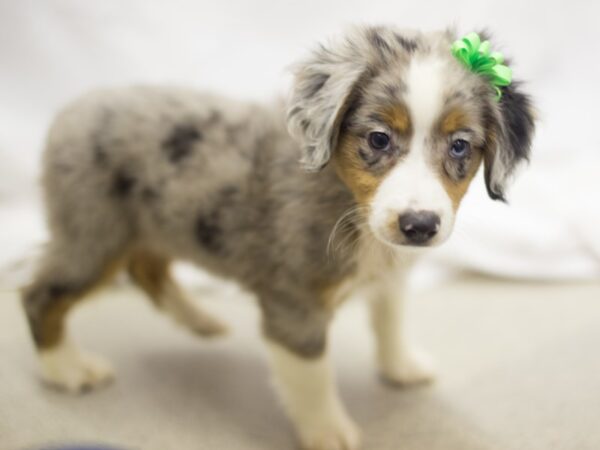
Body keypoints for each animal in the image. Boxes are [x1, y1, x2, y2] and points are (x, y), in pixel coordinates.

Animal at [22, 25, 536, 450]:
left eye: (460, 146)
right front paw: (328, 432)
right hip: (93, 234)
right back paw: (67, 369)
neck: (346, 198)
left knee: (147, 268)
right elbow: (312, 375)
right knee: (41, 294)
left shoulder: (389, 272)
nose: (420, 226)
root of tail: (73, 109)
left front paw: (401, 367)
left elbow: (389, 320)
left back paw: (201, 321)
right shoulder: (294, 304)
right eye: (378, 139)